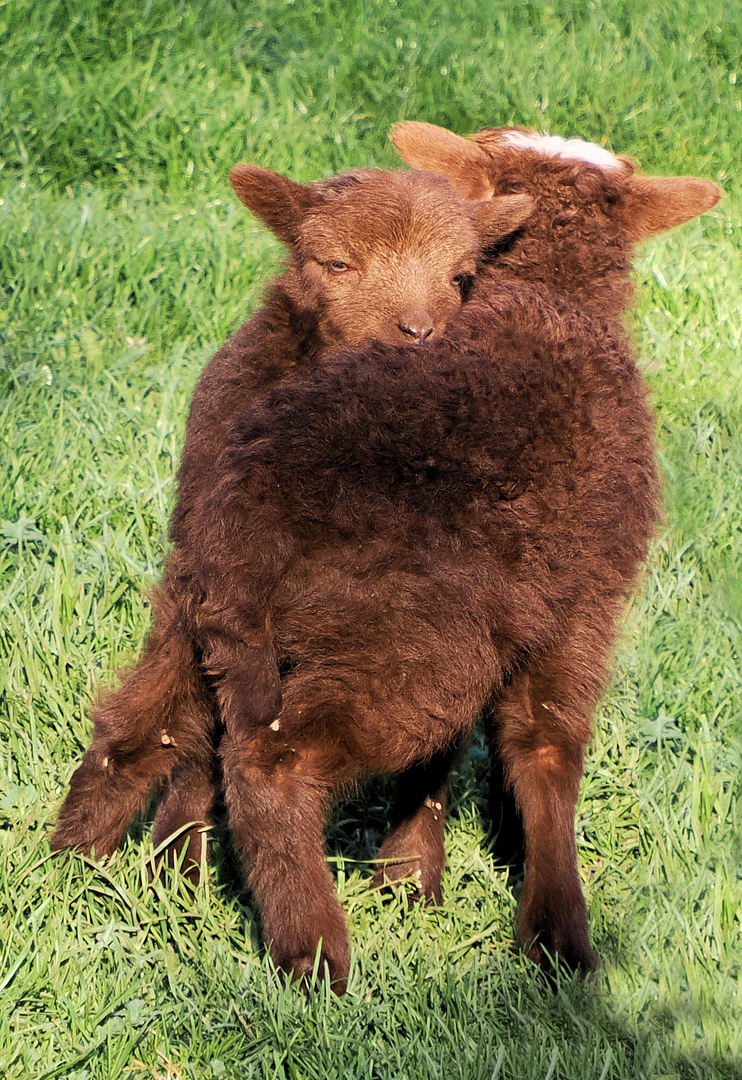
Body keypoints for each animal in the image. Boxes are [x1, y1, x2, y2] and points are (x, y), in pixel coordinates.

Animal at [49, 164, 531, 872]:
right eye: (336, 262)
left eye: (461, 276)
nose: (419, 332)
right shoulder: (208, 562)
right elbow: (165, 707)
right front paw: (98, 851)